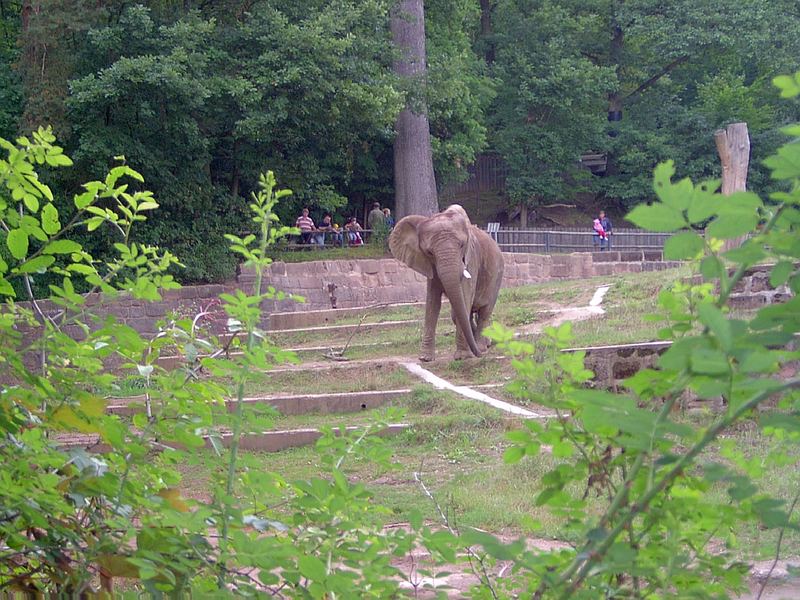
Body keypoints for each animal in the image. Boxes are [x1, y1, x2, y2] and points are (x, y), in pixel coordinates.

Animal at [390, 204, 504, 360]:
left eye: (462, 245)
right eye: (429, 252)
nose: (479, 356)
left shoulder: (472, 258)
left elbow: (465, 296)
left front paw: (462, 357)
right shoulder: (430, 266)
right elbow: (432, 302)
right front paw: (425, 358)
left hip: (497, 276)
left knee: (484, 312)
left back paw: (481, 346)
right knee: (460, 314)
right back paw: (482, 344)